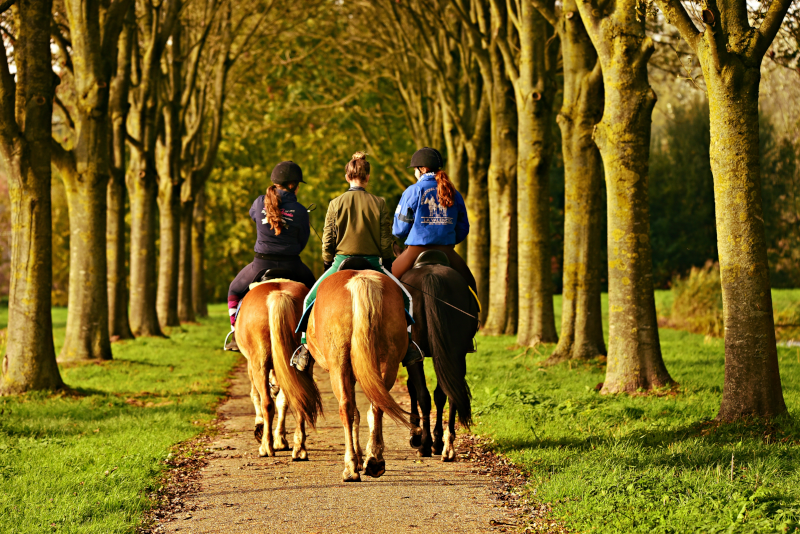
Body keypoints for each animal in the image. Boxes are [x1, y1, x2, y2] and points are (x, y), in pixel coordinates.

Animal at [234, 280, 322, 460]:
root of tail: (278, 295)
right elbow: (283, 400)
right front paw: (280, 440)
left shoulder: (251, 365)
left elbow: (255, 395)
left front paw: (260, 428)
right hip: (302, 366)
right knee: (299, 398)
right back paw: (299, 449)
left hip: (259, 364)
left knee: (267, 402)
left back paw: (265, 447)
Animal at [304, 266, 418, 482]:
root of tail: (360, 279)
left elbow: (354, 412)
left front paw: (356, 459)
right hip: (388, 362)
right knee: (377, 405)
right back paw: (374, 460)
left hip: (338, 364)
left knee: (346, 407)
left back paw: (350, 467)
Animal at [398, 254, 476, 460]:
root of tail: (431, 276)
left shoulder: (413, 358)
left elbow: (413, 389)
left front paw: (416, 434)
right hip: (455, 353)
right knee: (448, 393)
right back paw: (445, 445)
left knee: (424, 395)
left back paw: (425, 444)